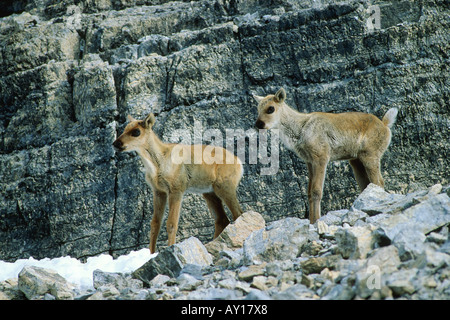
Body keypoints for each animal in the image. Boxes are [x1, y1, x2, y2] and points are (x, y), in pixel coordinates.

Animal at [114, 114, 244, 254]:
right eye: (125, 129)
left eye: (136, 132)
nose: (116, 143)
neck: (157, 165)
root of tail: (239, 163)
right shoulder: (158, 191)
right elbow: (155, 224)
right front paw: (151, 253)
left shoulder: (176, 189)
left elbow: (171, 223)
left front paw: (171, 248)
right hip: (209, 192)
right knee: (222, 219)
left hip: (224, 186)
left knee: (238, 213)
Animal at [253, 87, 398, 222]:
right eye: (258, 108)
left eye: (271, 108)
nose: (258, 124)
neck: (300, 128)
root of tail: (385, 124)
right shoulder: (309, 161)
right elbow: (309, 192)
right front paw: (312, 221)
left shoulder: (321, 158)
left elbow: (316, 191)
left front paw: (317, 220)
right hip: (356, 161)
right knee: (367, 185)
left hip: (370, 156)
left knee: (378, 182)